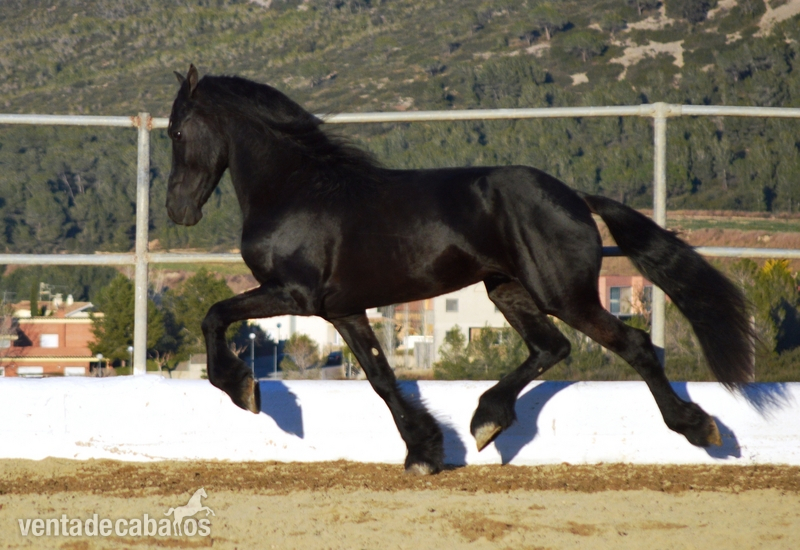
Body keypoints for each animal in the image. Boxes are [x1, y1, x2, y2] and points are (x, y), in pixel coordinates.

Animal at [166, 65, 754, 475]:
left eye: (175, 132)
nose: (177, 210)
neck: (296, 188)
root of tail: (574, 198)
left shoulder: (293, 293)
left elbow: (214, 314)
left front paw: (244, 389)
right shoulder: (343, 310)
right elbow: (381, 378)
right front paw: (424, 451)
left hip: (562, 294)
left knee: (632, 345)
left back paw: (698, 428)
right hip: (507, 290)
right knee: (551, 348)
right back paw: (487, 420)